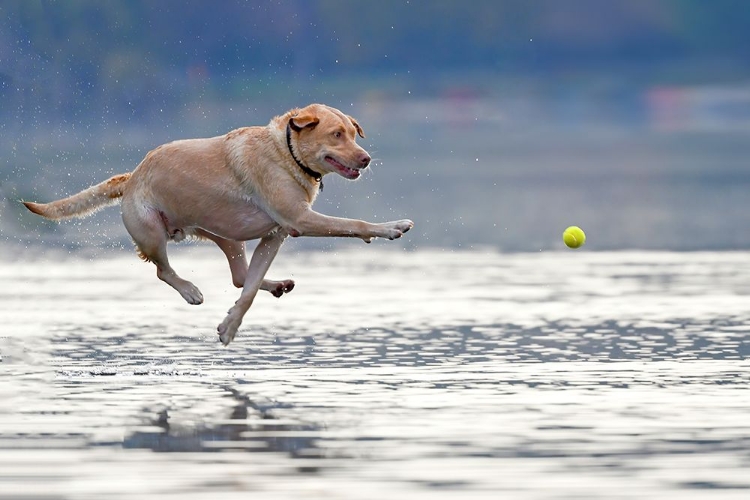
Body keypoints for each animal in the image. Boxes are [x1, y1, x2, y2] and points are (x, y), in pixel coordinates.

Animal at [23, 103, 414, 346]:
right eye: (336, 135)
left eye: (353, 133)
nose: (366, 159)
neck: (287, 153)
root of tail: (131, 176)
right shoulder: (299, 220)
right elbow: (356, 222)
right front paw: (392, 227)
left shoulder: (275, 236)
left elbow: (248, 292)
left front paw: (229, 326)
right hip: (151, 232)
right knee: (163, 270)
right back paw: (190, 291)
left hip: (224, 235)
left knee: (240, 277)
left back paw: (277, 285)